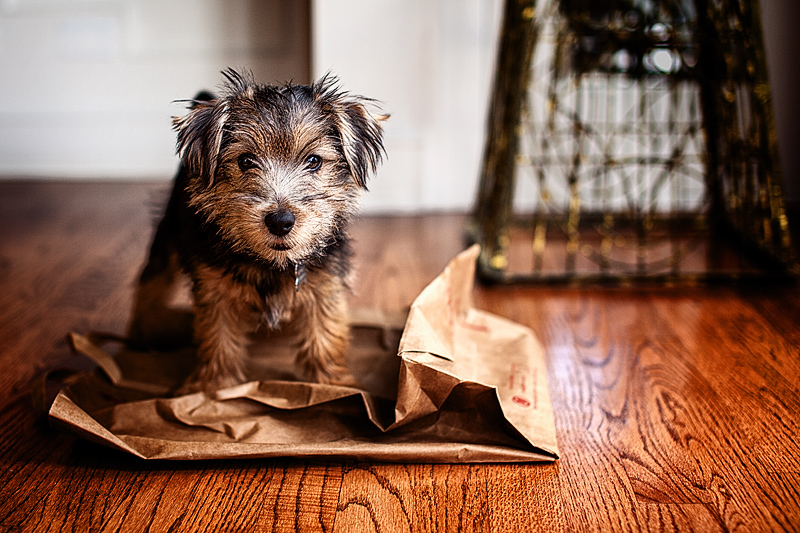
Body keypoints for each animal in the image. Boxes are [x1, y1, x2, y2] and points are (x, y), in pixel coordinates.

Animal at [128, 68, 388, 392]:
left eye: (314, 161)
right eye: (245, 160)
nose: (280, 221)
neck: (272, 264)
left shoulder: (326, 282)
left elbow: (325, 335)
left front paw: (335, 384)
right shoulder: (214, 291)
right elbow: (217, 338)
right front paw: (212, 387)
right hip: (168, 230)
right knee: (151, 278)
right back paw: (142, 330)